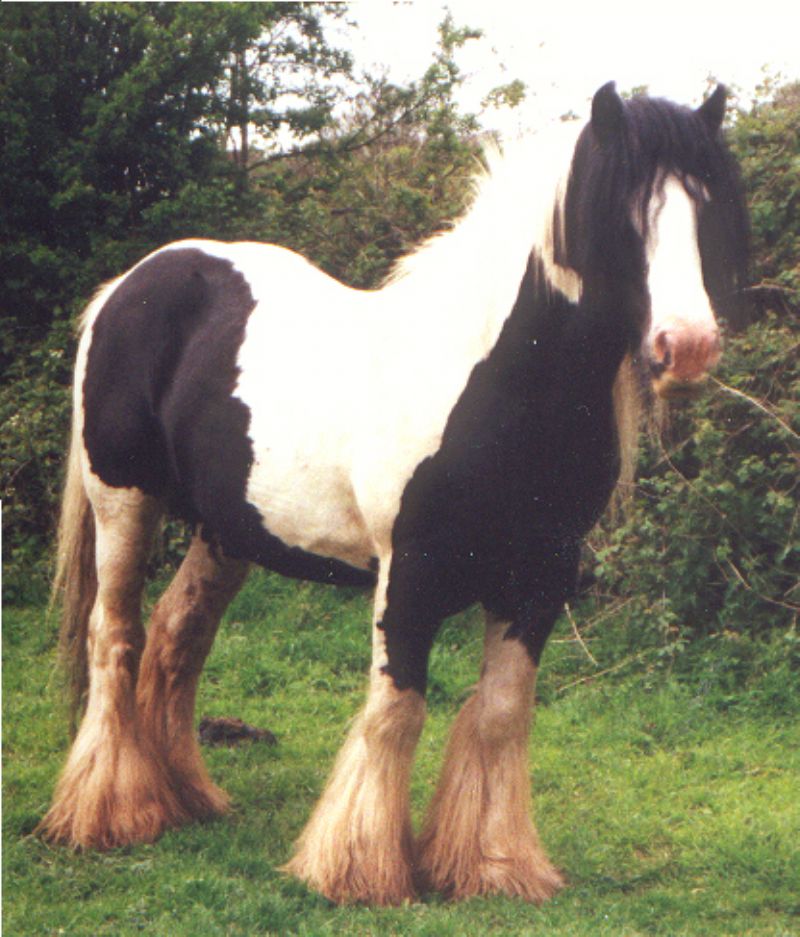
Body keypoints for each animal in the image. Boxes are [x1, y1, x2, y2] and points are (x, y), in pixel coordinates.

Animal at [39, 82, 748, 906]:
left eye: (705, 205)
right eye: (621, 209)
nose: (687, 346)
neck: (495, 384)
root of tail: (129, 286)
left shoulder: (540, 576)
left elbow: (501, 712)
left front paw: (492, 865)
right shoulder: (408, 570)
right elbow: (397, 707)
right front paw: (356, 868)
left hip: (227, 530)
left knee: (177, 637)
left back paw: (186, 798)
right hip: (123, 502)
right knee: (114, 636)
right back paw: (110, 813)